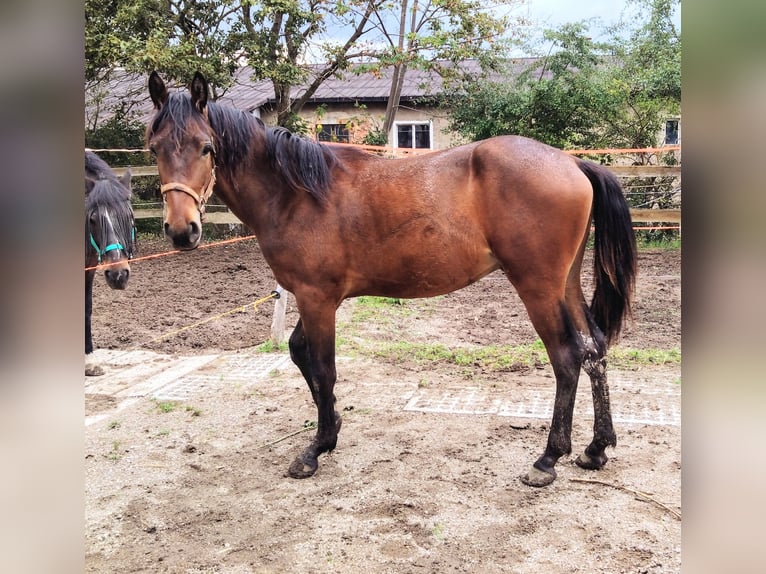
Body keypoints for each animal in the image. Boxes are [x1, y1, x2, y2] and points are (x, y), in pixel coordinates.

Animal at [147, 70, 640, 488]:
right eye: (155, 148)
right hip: (566, 283)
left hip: (537, 287)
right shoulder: (314, 297)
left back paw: (548, 458)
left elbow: (322, 367)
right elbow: (299, 353)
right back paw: (596, 448)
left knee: (567, 356)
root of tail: (573, 164)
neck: (296, 193)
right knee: (595, 349)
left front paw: (316, 448)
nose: (182, 230)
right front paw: (333, 427)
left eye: (206, 147)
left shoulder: (316, 298)